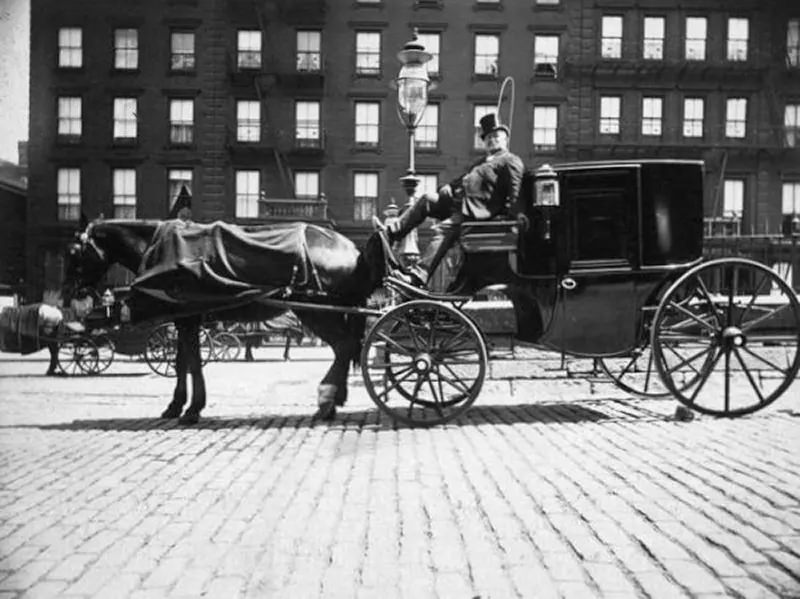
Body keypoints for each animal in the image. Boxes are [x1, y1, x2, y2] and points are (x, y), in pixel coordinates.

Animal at [64, 218, 390, 424]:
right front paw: (176, 405)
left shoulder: (188, 319)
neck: (157, 249)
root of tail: (351, 249)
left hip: (316, 310)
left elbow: (193, 363)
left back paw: (326, 399)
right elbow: (181, 362)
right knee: (346, 348)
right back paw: (333, 401)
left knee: (344, 346)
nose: (73, 298)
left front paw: (192, 410)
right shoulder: (184, 319)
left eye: (75, 254)